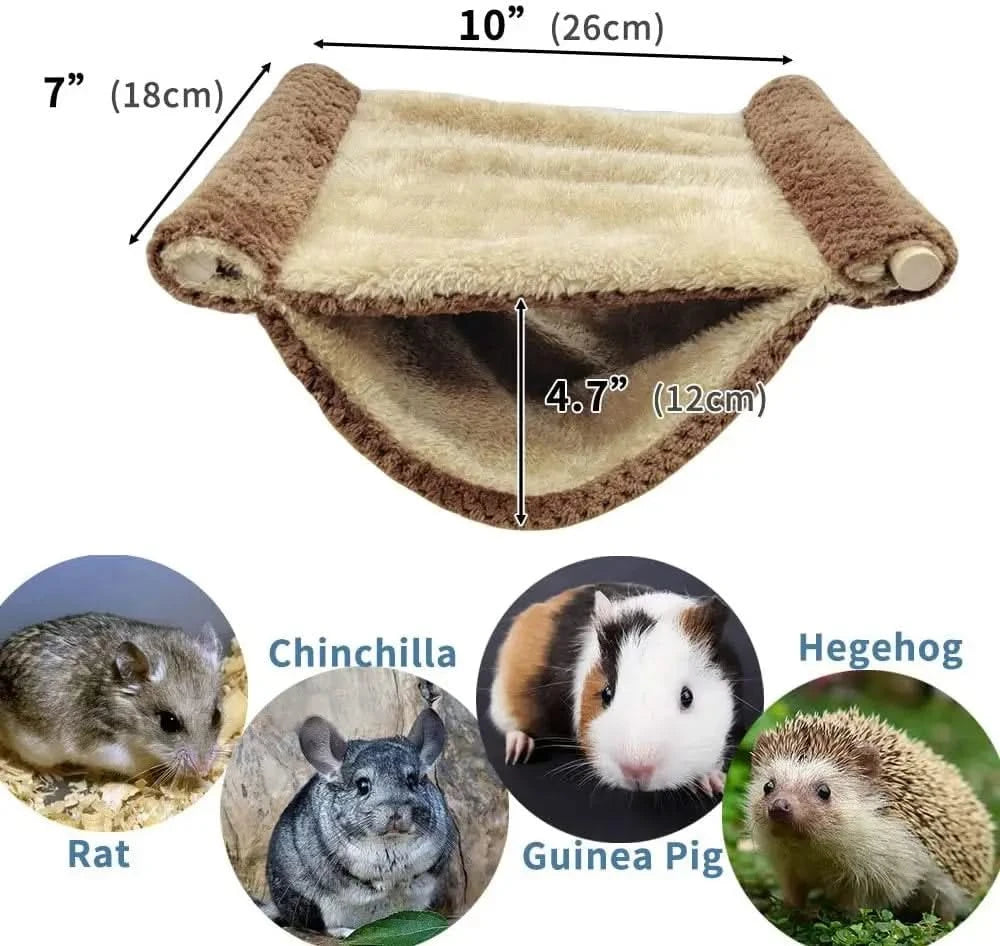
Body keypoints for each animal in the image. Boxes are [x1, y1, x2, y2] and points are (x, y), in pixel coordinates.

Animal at [0, 612, 224, 780]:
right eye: (168, 722)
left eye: (217, 715)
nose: (204, 770)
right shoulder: (103, 746)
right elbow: (135, 767)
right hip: (34, 746)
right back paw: (54, 774)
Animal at [266, 709, 456, 938]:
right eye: (362, 785)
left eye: (412, 780)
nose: (395, 812)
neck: (390, 842)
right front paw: (385, 886)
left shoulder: (437, 852)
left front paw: (403, 883)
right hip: (318, 907)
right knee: (328, 928)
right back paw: (347, 932)